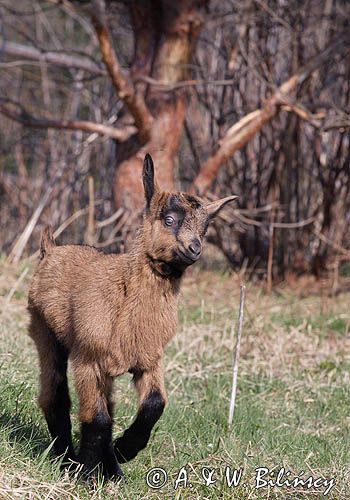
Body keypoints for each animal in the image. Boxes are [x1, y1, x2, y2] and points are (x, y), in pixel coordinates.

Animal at [26, 153, 235, 480]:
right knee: (56, 395)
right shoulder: (88, 359)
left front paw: (125, 451)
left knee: (107, 407)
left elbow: (154, 404)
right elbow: (96, 418)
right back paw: (67, 459)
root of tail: (51, 249)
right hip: (45, 334)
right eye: (169, 219)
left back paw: (111, 469)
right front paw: (86, 475)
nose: (195, 249)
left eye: (204, 228)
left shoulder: (149, 359)